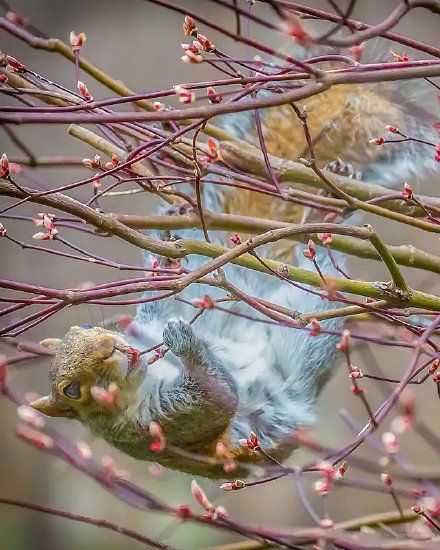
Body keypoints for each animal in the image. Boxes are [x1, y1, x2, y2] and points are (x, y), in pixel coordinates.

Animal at [29, 32, 438, 478]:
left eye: (86, 329)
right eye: (72, 390)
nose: (109, 347)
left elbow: (160, 309)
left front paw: (165, 269)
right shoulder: (164, 424)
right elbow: (218, 400)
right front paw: (185, 342)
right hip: (304, 336)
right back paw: (325, 232)